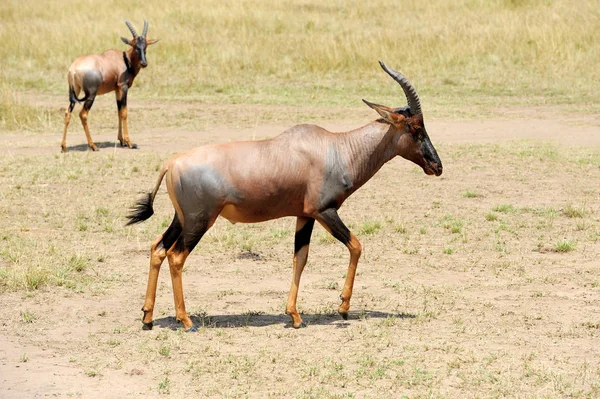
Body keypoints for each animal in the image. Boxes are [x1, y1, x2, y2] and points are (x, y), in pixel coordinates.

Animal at [60, 19, 158, 153]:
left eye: (145, 45)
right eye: (134, 46)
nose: (144, 63)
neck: (123, 59)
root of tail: (73, 69)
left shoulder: (117, 89)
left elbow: (119, 111)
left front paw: (122, 141)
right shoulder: (123, 87)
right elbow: (124, 112)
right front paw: (130, 143)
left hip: (75, 93)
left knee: (67, 112)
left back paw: (64, 147)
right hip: (91, 95)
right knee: (83, 114)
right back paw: (93, 146)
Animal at [129, 61, 442, 332]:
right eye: (415, 127)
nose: (437, 166)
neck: (336, 148)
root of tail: (171, 163)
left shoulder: (304, 215)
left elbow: (299, 258)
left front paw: (294, 316)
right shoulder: (324, 211)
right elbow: (356, 246)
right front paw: (342, 307)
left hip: (181, 219)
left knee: (158, 248)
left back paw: (147, 317)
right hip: (199, 221)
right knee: (176, 256)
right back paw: (186, 321)